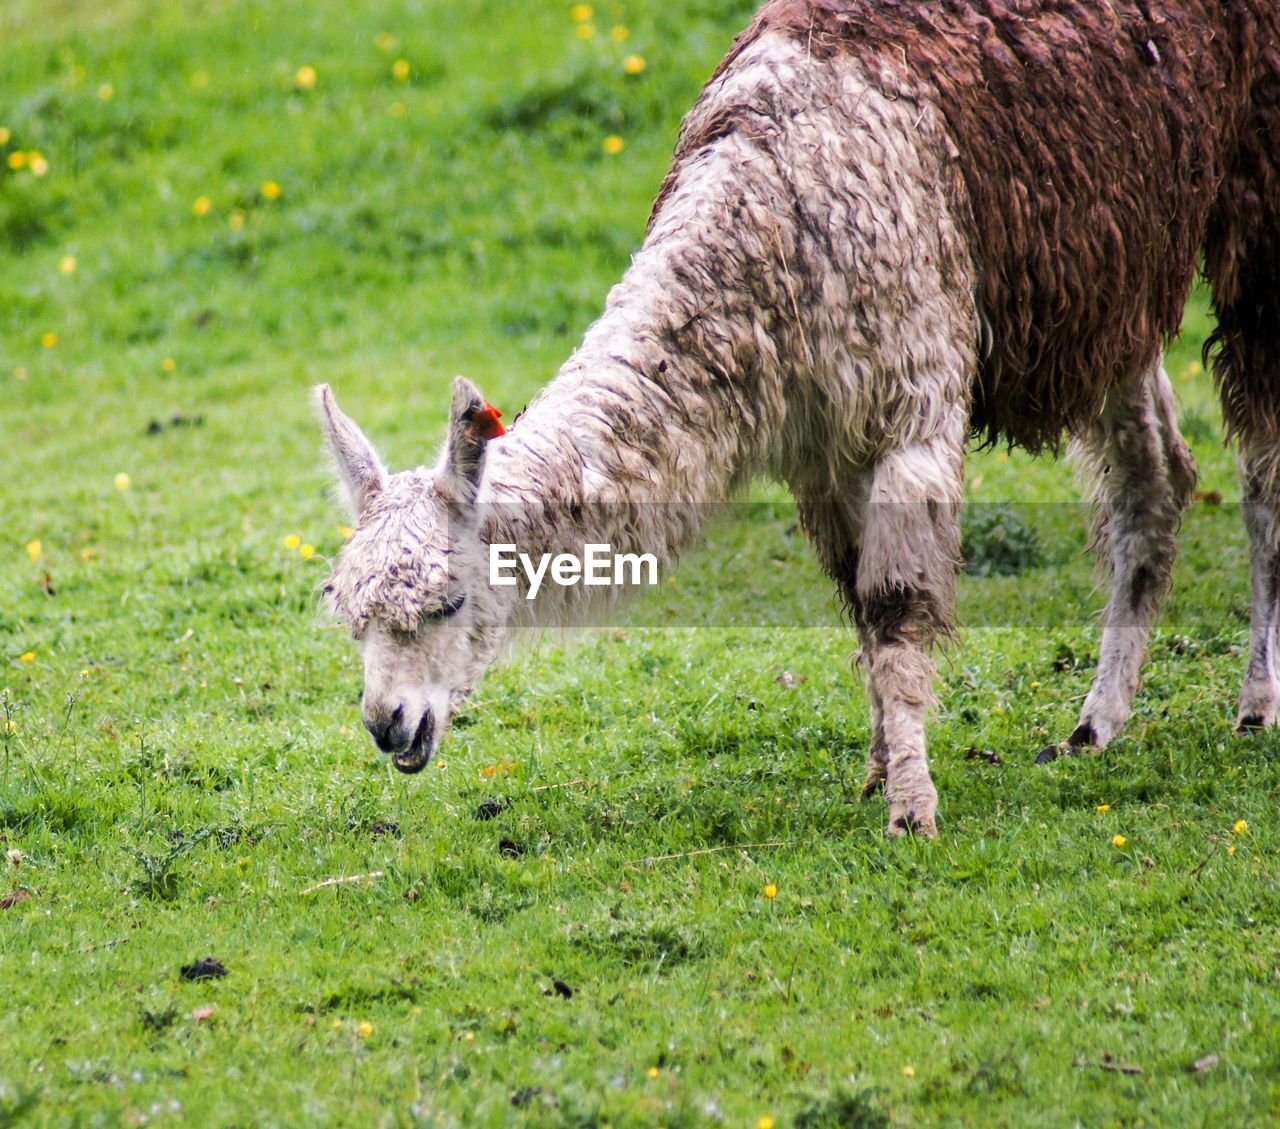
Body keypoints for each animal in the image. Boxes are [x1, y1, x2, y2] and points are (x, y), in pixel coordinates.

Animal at [314, 0, 1280, 829]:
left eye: (447, 602)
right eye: (350, 613)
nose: (388, 724)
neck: (777, 221)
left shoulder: (911, 396)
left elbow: (893, 605)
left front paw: (912, 808)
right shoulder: (820, 444)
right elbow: (856, 599)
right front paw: (881, 767)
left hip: (1257, 200)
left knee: (1261, 469)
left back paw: (1255, 706)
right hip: (1115, 277)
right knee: (1156, 480)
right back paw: (1095, 724)